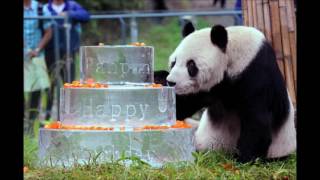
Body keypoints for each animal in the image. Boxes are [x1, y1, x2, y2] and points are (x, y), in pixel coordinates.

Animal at [156, 22, 296, 163]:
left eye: (191, 65)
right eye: (173, 62)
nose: (171, 82)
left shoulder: (256, 74)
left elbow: (257, 119)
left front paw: (243, 159)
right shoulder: (209, 89)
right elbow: (182, 107)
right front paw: (159, 79)